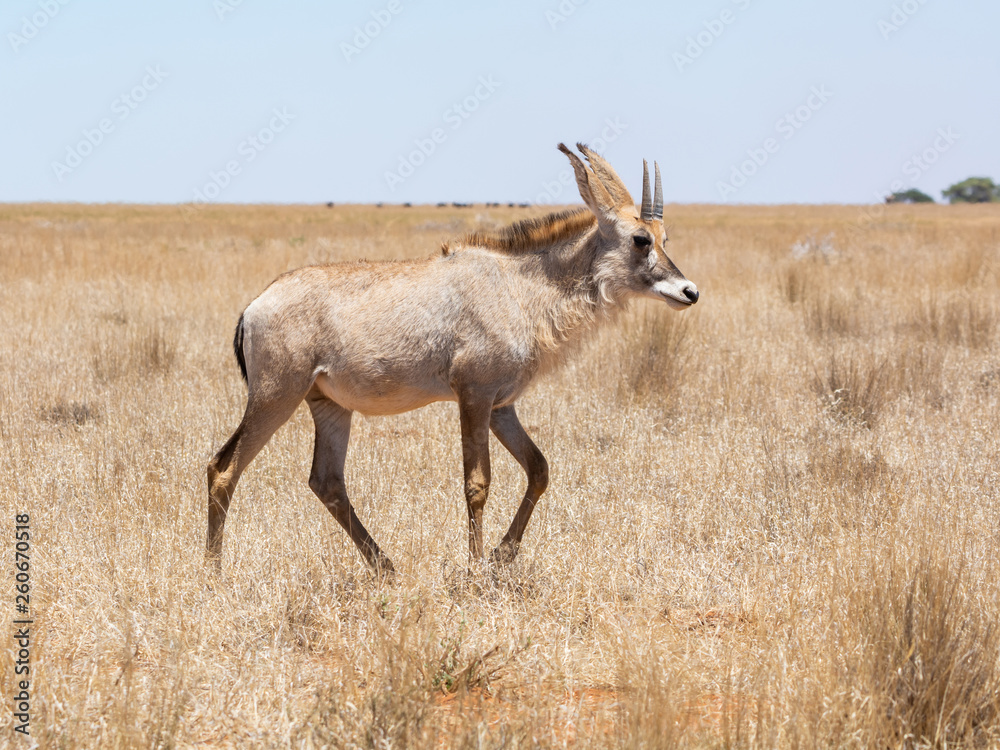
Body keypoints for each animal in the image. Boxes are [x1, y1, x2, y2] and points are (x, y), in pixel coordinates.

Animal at [206, 143, 699, 574]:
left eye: (665, 237)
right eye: (640, 239)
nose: (688, 291)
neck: (520, 286)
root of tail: (254, 307)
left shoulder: (502, 406)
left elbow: (539, 469)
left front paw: (503, 554)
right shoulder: (474, 396)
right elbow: (477, 483)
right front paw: (476, 565)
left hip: (328, 406)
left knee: (326, 482)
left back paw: (387, 568)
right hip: (276, 396)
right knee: (223, 469)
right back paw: (213, 573)